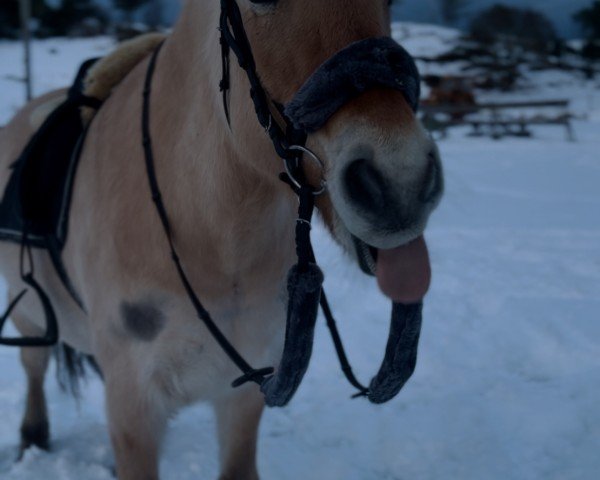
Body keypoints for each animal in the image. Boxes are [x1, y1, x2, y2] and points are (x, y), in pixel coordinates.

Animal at [0, 0, 440, 478]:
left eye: (391, 4)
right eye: (260, 1)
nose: (401, 184)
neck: (212, 240)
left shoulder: (244, 392)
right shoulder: (134, 405)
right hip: (28, 312)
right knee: (34, 363)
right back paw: (32, 435)